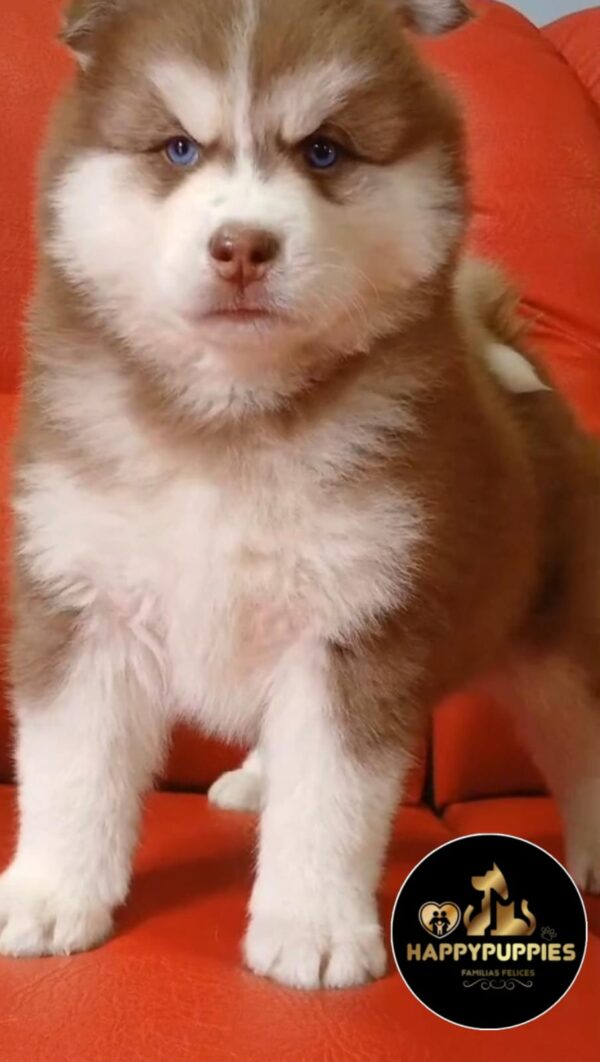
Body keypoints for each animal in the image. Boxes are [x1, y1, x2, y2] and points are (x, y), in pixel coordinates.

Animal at [1, 0, 599, 990]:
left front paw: (311, 929)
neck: (230, 420)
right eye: (178, 149)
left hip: (554, 638)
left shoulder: (355, 627)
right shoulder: (86, 603)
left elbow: (330, 801)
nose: (242, 246)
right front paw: (48, 896)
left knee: (579, 734)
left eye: (324, 151)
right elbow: (70, 772)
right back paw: (254, 776)